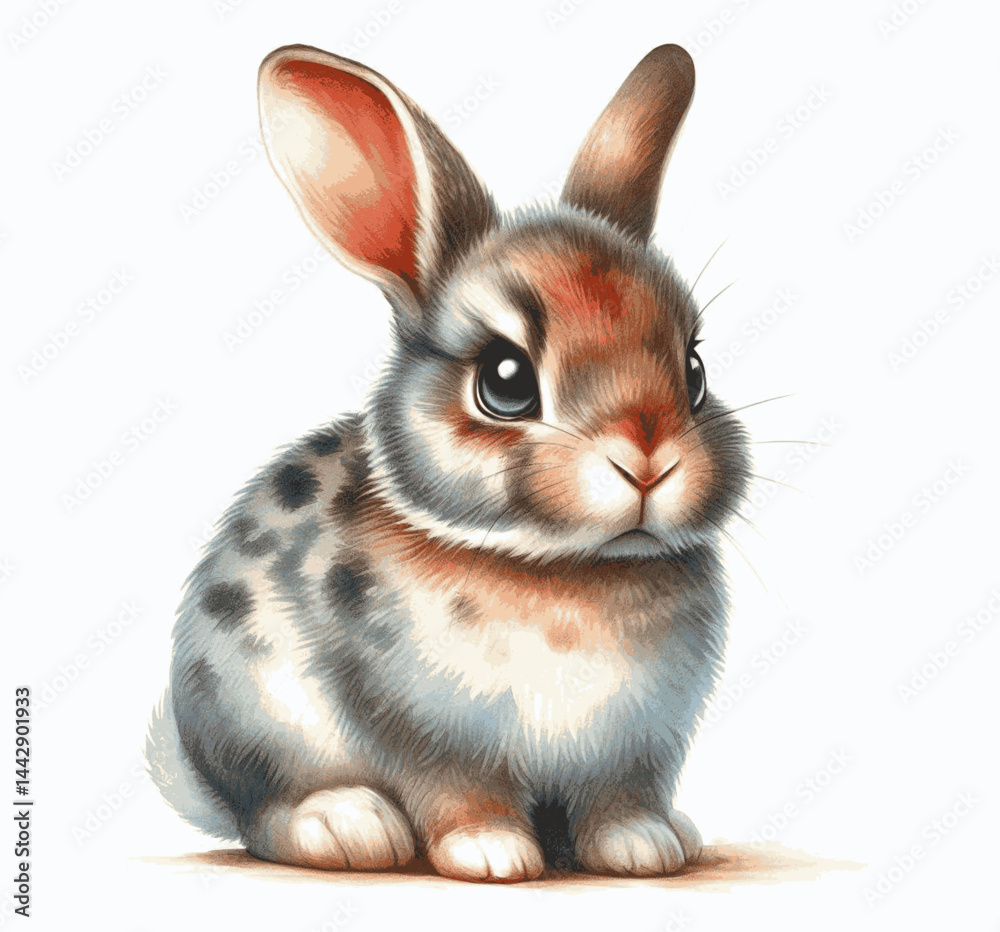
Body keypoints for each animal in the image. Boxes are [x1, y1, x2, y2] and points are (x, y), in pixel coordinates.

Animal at [146, 42, 751, 883]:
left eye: (693, 371)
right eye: (505, 380)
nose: (648, 460)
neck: (570, 571)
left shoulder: (637, 747)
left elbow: (620, 797)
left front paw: (643, 845)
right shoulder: (425, 729)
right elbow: (457, 789)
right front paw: (491, 852)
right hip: (257, 719)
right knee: (266, 815)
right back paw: (348, 826)